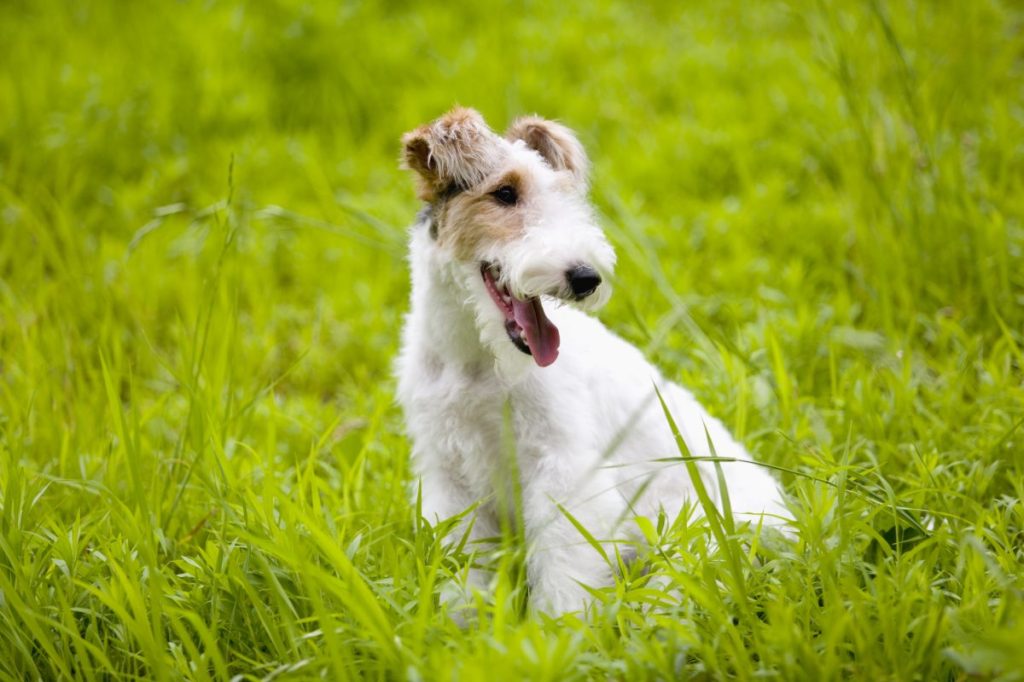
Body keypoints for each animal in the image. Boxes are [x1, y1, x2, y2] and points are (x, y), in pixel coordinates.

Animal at [395, 107, 786, 614]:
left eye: (565, 196)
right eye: (504, 193)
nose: (586, 278)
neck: (475, 361)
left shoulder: (564, 472)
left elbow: (565, 576)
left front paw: (555, 631)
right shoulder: (448, 474)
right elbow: (469, 571)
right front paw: (464, 623)